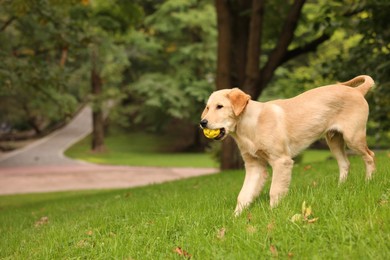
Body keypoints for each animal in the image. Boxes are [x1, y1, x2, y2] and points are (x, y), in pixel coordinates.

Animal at [201, 75, 374, 215]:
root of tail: (358, 91)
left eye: (220, 106)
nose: (202, 123)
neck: (250, 125)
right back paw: (340, 187)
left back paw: (369, 182)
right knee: (345, 163)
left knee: (370, 156)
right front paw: (235, 218)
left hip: (353, 137)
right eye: (208, 107)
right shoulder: (254, 166)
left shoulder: (281, 161)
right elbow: (243, 195)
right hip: (334, 140)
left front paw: (272, 214)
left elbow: (275, 191)